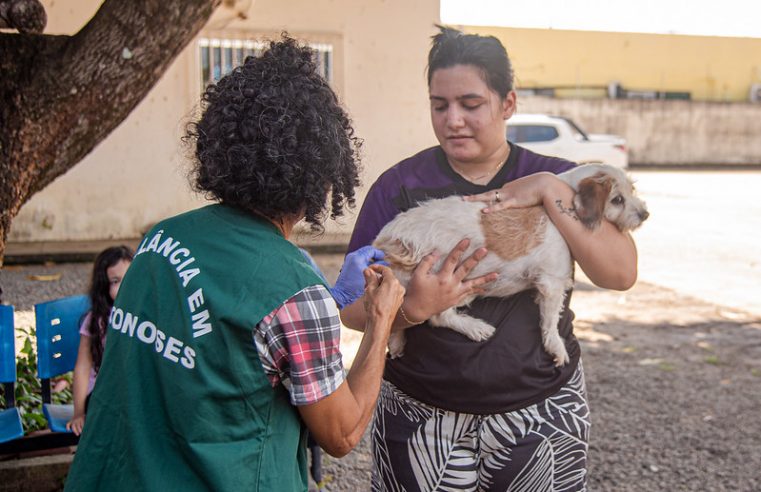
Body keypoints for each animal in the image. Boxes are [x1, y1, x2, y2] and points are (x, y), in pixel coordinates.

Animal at [374, 164, 648, 366]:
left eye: (632, 190)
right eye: (617, 199)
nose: (645, 214)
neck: (556, 215)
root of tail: (388, 238)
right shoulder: (551, 283)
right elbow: (550, 321)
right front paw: (556, 347)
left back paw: (397, 342)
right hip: (443, 279)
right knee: (438, 316)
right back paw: (476, 328)